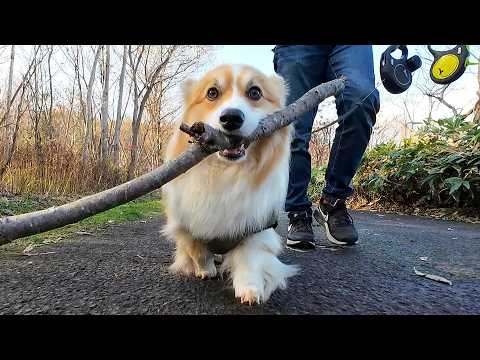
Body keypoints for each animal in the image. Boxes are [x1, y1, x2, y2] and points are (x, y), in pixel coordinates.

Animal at [163, 64, 298, 304]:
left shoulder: (256, 226)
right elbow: (198, 251)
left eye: (255, 92)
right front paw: (206, 270)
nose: (232, 118)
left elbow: (249, 258)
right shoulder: (185, 225)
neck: (226, 173)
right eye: (212, 93)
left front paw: (250, 290)